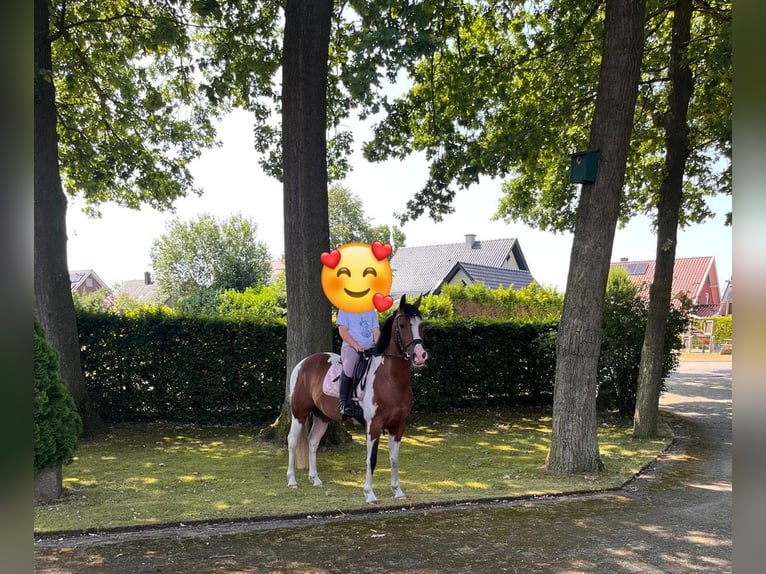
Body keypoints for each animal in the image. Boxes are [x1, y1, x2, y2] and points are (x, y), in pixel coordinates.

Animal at [286, 294, 428, 503]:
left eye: (421, 325)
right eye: (402, 325)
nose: (419, 356)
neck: (389, 379)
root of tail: (303, 363)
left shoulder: (399, 425)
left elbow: (394, 459)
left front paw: (397, 491)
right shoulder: (373, 425)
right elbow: (371, 459)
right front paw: (369, 494)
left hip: (322, 416)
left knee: (313, 442)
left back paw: (316, 479)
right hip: (299, 414)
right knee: (292, 441)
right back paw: (292, 481)